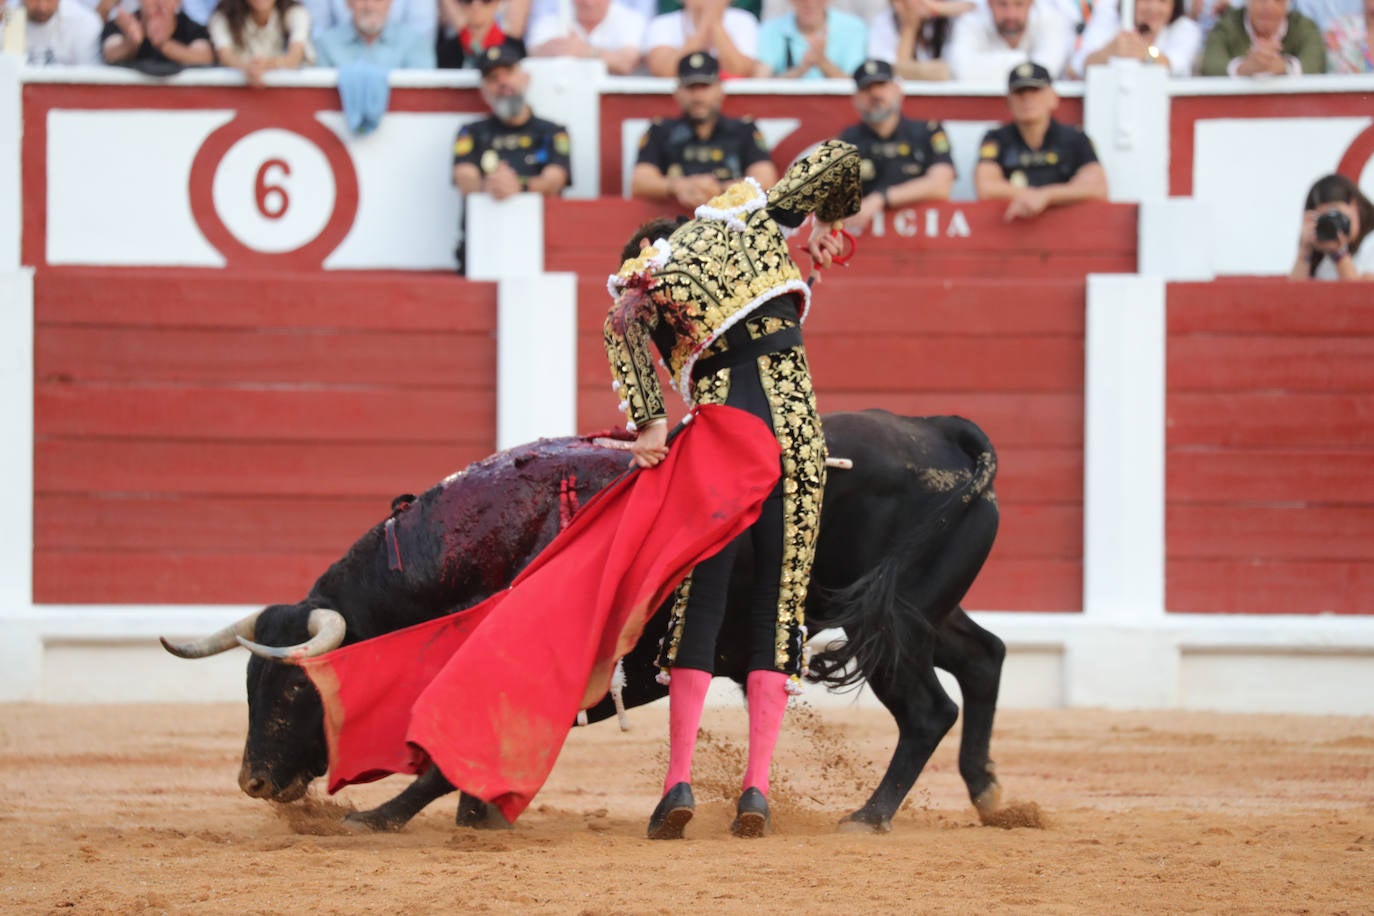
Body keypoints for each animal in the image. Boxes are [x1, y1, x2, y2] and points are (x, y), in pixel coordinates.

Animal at [160, 411, 1005, 834]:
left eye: (294, 692)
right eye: (247, 685)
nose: (254, 781)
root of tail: (948, 434)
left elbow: (447, 752)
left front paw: (386, 816)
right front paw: (473, 814)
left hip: (889, 626)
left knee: (929, 709)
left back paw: (869, 816)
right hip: (917, 613)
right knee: (985, 658)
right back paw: (992, 797)